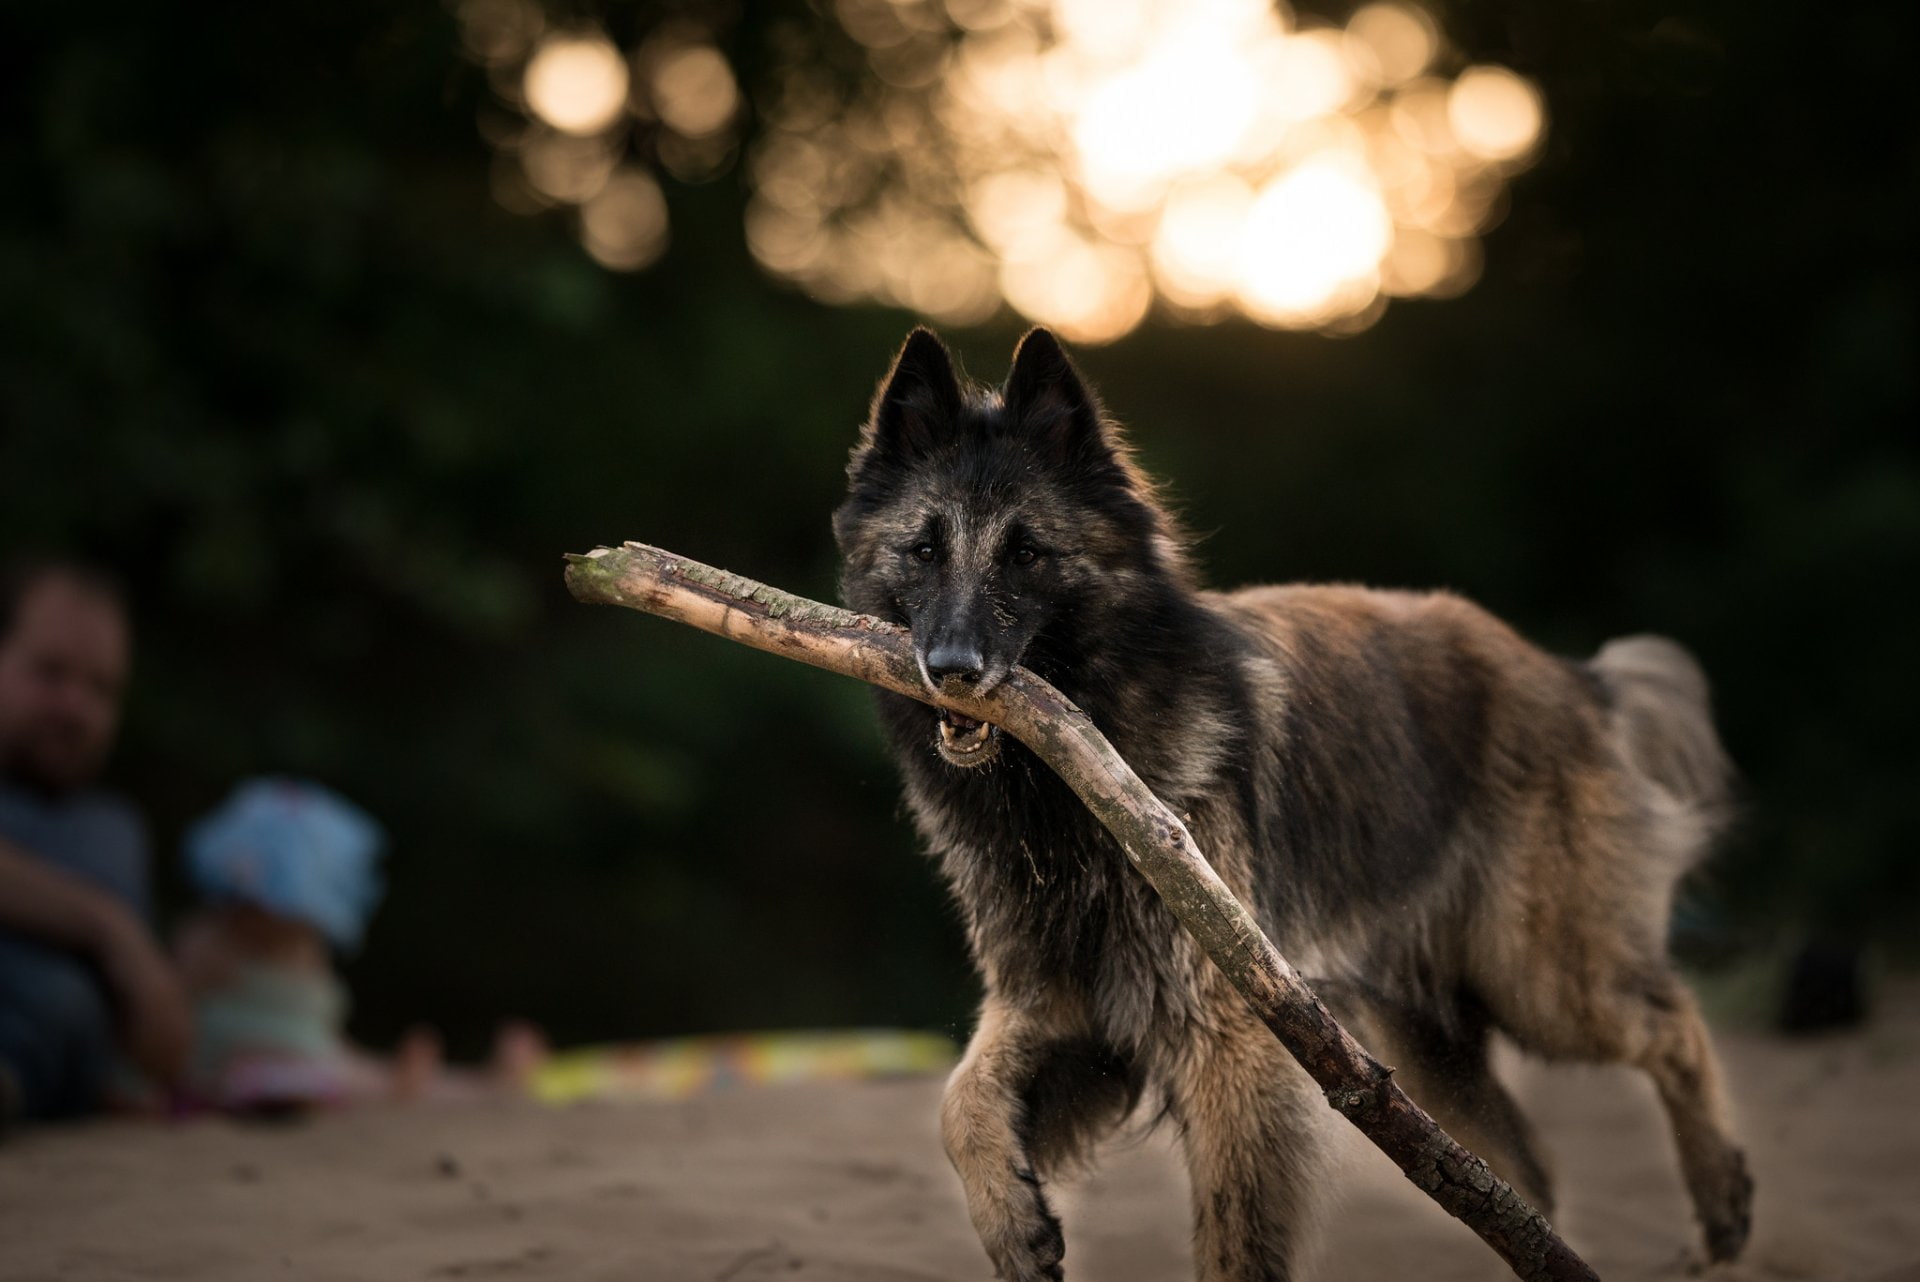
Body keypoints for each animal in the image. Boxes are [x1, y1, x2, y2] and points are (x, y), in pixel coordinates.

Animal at [833, 330, 1751, 1282]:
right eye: (924, 550)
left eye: (1025, 553)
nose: (953, 670)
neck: (1060, 795)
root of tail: (1573, 676)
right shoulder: (1056, 1003)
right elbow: (958, 1100)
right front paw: (1014, 1223)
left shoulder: (1231, 1040)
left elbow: (1236, 1235)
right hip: (1425, 1056)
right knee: (1519, 1178)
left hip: (1546, 979)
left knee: (1672, 1025)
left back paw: (1723, 1204)